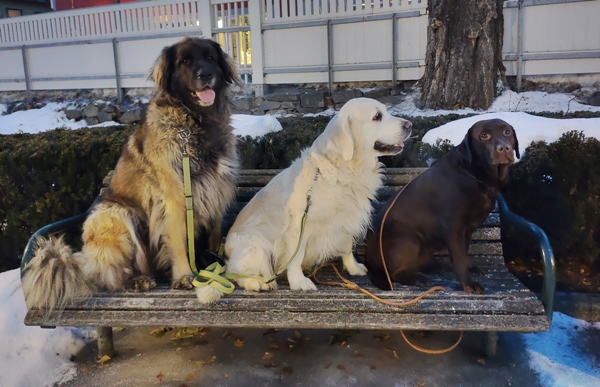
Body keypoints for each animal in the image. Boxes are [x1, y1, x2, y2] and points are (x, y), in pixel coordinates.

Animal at [23, 37, 239, 312]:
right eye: (185, 62)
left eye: (210, 57)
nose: (206, 74)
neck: (194, 125)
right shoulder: (175, 199)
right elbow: (179, 242)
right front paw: (183, 276)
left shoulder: (216, 194)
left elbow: (213, 238)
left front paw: (214, 268)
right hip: (114, 214)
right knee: (111, 274)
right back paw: (137, 280)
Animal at [197, 98, 412, 304]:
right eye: (377, 116)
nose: (409, 125)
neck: (343, 170)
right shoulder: (299, 225)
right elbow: (296, 256)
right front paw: (299, 282)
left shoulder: (345, 220)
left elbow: (347, 246)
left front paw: (353, 267)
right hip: (256, 248)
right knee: (234, 273)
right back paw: (257, 283)